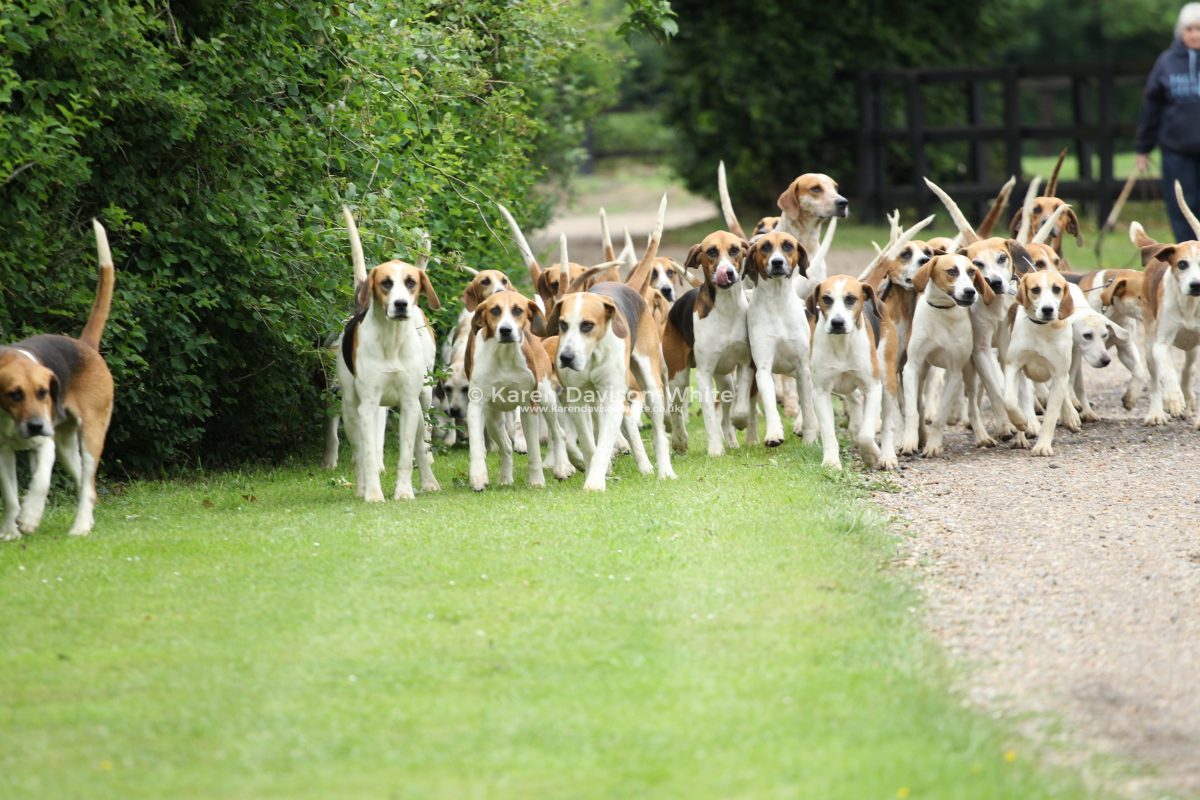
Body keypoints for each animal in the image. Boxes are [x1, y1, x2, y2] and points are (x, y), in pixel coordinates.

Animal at [0, 220, 115, 539]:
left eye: (43, 392)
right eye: (14, 394)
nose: (36, 425)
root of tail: (85, 345)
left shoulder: (45, 445)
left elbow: (40, 482)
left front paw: (29, 517)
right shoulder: (3, 452)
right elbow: (10, 497)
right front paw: (11, 531)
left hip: (90, 436)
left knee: (87, 484)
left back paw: (80, 526)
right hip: (67, 446)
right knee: (88, 487)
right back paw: (86, 521)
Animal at [336, 207, 440, 501]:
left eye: (411, 282)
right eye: (385, 283)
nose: (401, 304)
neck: (391, 341)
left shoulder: (408, 403)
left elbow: (406, 455)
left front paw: (403, 492)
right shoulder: (368, 404)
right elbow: (369, 455)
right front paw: (373, 494)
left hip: (422, 402)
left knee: (422, 447)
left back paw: (429, 482)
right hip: (351, 409)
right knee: (359, 453)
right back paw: (362, 488)